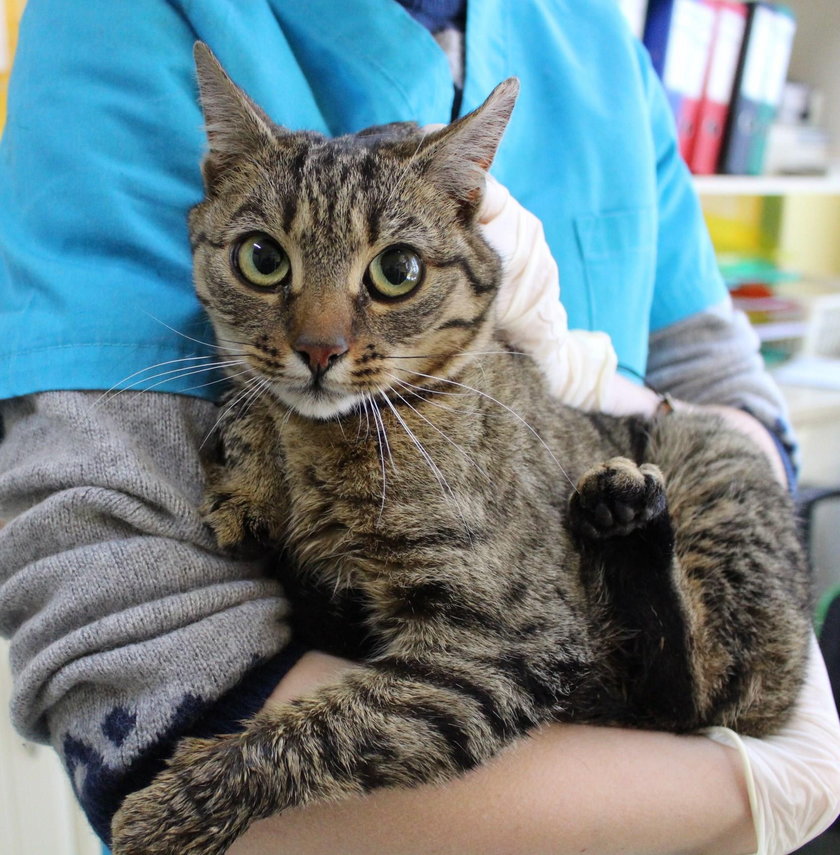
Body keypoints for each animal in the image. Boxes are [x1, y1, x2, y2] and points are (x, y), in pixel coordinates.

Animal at [108, 45, 812, 855]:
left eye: (397, 270)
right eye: (262, 257)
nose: (317, 350)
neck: (336, 435)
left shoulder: (503, 649)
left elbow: (325, 727)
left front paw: (182, 802)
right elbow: (250, 398)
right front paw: (248, 478)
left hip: (718, 469)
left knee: (690, 696)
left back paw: (628, 513)